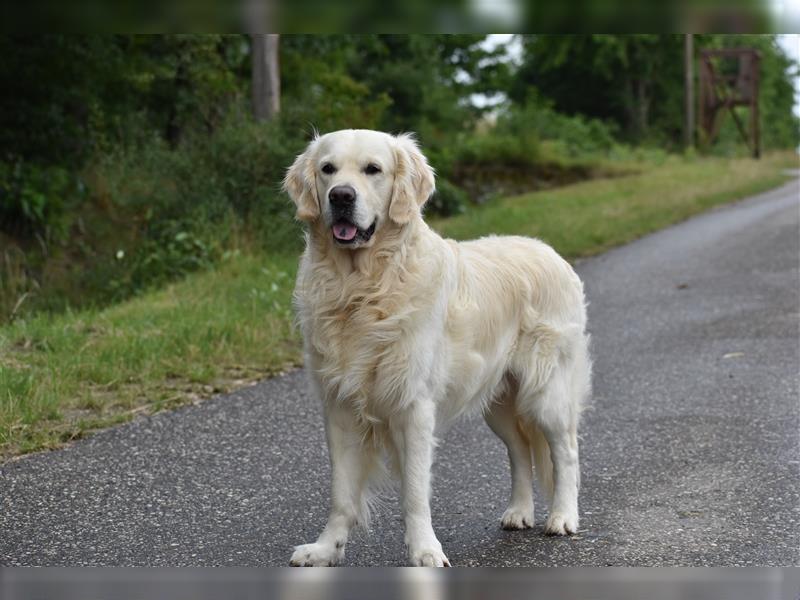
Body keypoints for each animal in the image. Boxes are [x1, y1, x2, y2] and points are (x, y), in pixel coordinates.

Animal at [284, 129, 592, 564]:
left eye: (373, 169)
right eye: (328, 169)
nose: (341, 196)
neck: (363, 287)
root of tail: (549, 251)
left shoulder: (413, 408)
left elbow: (414, 493)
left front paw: (425, 552)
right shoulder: (339, 408)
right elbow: (342, 495)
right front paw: (325, 549)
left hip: (547, 391)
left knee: (565, 451)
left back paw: (563, 517)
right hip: (498, 400)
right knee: (520, 451)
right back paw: (519, 511)